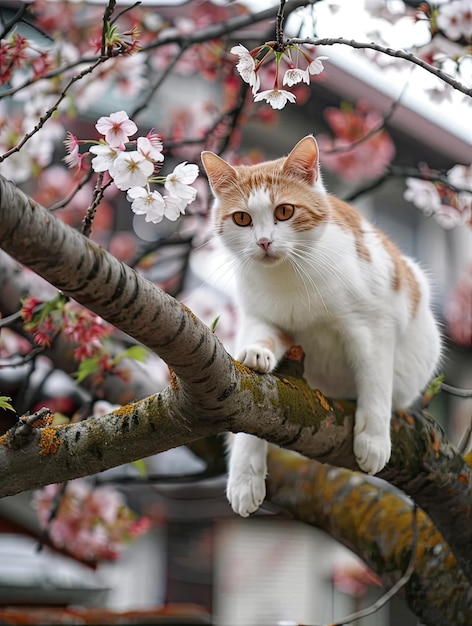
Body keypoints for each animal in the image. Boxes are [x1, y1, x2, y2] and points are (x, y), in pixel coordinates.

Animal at [200, 136, 442, 516]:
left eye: (284, 211)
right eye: (242, 219)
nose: (264, 242)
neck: (290, 276)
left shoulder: (373, 324)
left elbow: (375, 381)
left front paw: (374, 438)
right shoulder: (261, 318)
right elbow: (254, 404)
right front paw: (244, 476)